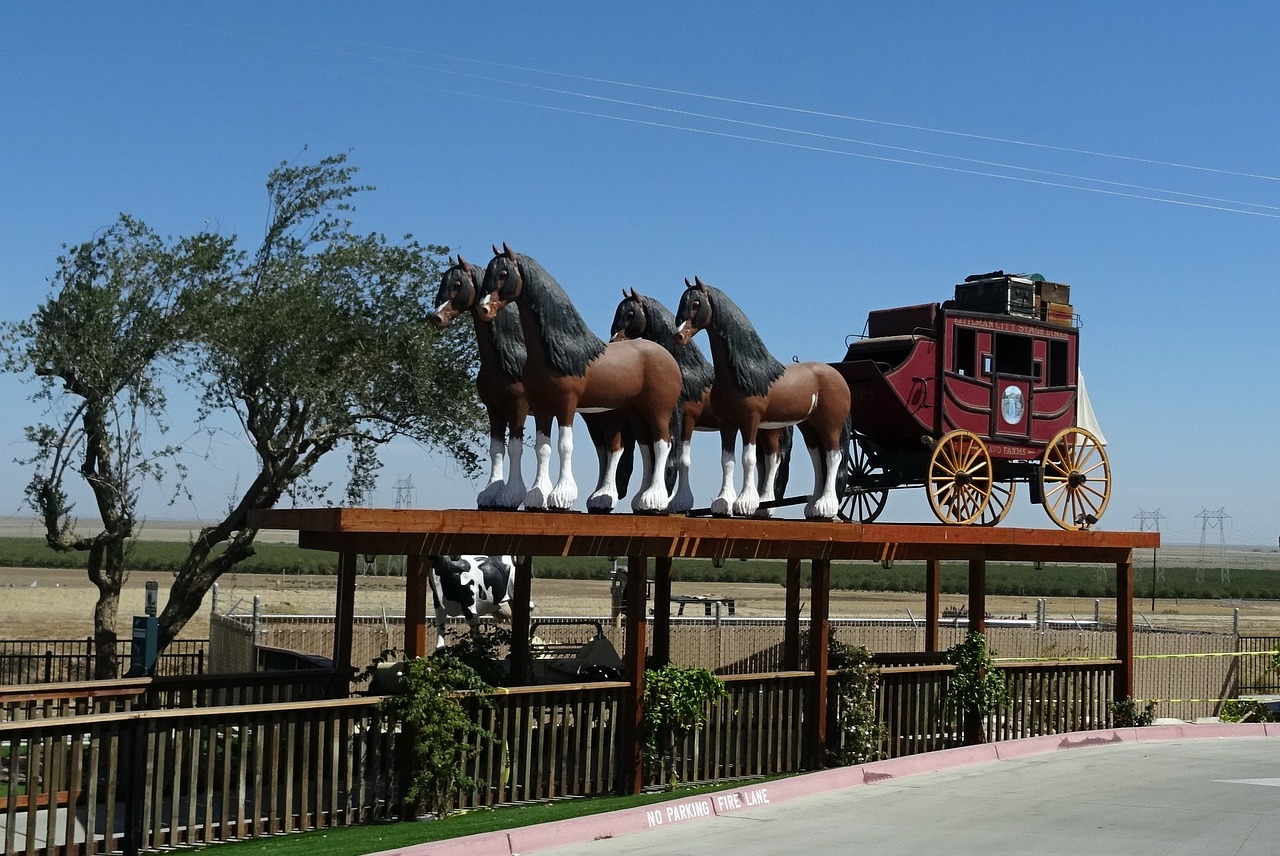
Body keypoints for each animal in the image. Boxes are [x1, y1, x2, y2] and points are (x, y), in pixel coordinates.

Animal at [478, 243, 680, 511]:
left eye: (503, 273)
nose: (484, 308)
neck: (561, 351)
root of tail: (669, 358)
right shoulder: (542, 407)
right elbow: (542, 447)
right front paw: (536, 497)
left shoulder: (566, 404)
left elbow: (565, 446)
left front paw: (560, 496)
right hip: (637, 413)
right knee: (648, 448)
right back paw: (641, 500)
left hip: (658, 410)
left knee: (662, 444)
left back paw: (654, 499)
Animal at [675, 277, 844, 516]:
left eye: (696, 304)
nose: (678, 335)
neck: (745, 375)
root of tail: (838, 376)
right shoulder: (727, 424)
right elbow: (727, 460)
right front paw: (722, 502)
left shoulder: (750, 422)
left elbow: (748, 459)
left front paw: (744, 503)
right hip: (810, 426)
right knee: (818, 459)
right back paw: (813, 507)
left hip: (830, 424)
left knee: (833, 456)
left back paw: (826, 505)